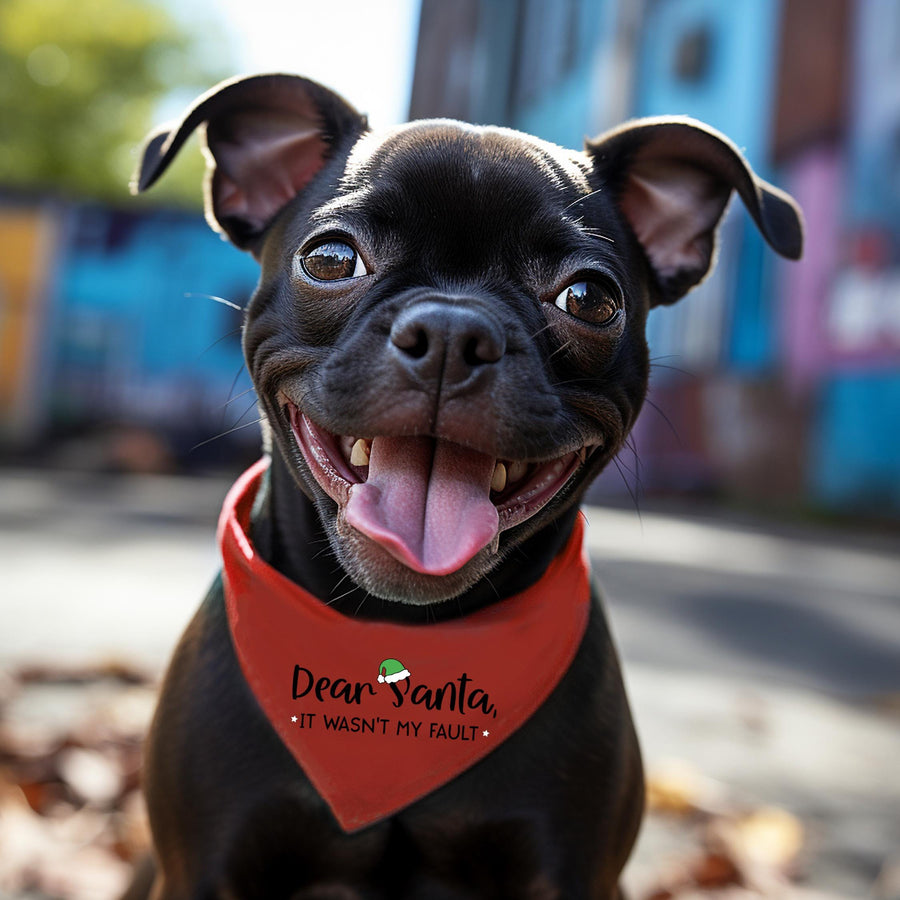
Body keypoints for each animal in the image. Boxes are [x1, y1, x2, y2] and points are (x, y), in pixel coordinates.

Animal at [125, 74, 800, 896]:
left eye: (589, 299)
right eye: (331, 259)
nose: (451, 331)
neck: (399, 639)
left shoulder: (572, 872)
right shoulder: (203, 866)